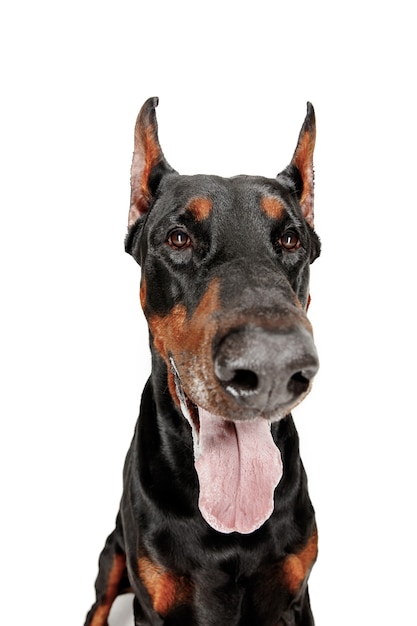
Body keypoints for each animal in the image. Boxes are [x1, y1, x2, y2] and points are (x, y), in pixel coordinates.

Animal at [83, 97, 318, 624]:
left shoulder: (298, 595)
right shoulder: (153, 604)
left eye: (291, 239)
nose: (272, 365)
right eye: (177, 238)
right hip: (113, 554)